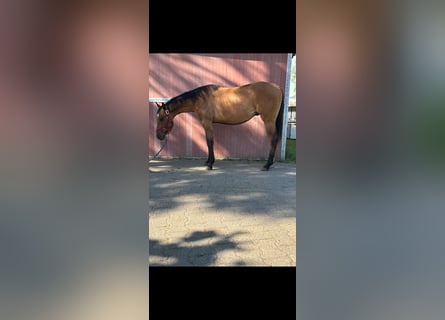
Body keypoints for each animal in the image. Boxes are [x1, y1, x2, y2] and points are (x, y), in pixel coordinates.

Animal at [154, 82, 282, 170]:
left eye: (161, 118)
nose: (159, 136)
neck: (201, 98)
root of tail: (277, 87)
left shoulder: (207, 123)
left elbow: (210, 142)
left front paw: (210, 164)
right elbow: (208, 142)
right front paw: (208, 161)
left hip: (269, 121)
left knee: (273, 139)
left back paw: (267, 165)